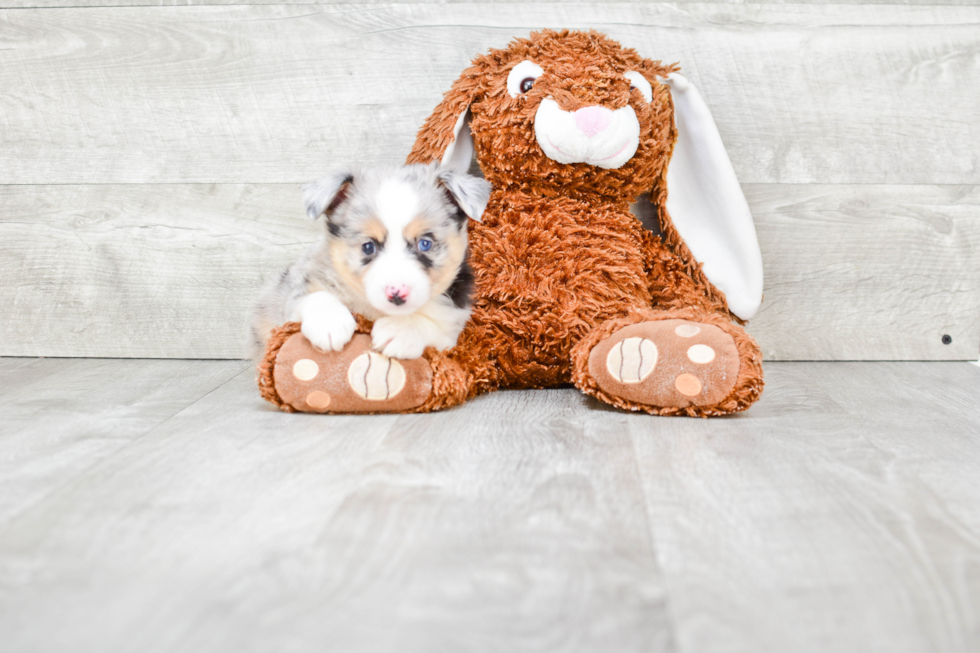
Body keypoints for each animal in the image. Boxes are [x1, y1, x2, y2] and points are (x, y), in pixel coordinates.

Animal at [253, 161, 490, 360]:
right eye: (368, 246)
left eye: (425, 243)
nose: (397, 293)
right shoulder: (296, 293)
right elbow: (314, 296)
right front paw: (329, 323)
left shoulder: (452, 328)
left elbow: (434, 324)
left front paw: (400, 330)